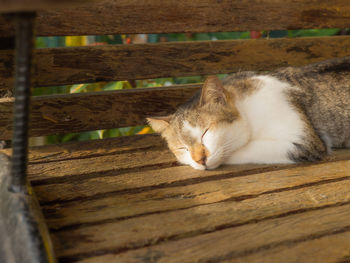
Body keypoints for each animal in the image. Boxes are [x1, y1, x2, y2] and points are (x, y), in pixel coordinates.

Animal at [147, 56, 350, 170]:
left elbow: (238, 151)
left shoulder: (305, 141)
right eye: (182, 148)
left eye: (205, 133)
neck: (249, 110)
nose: (200, 160)